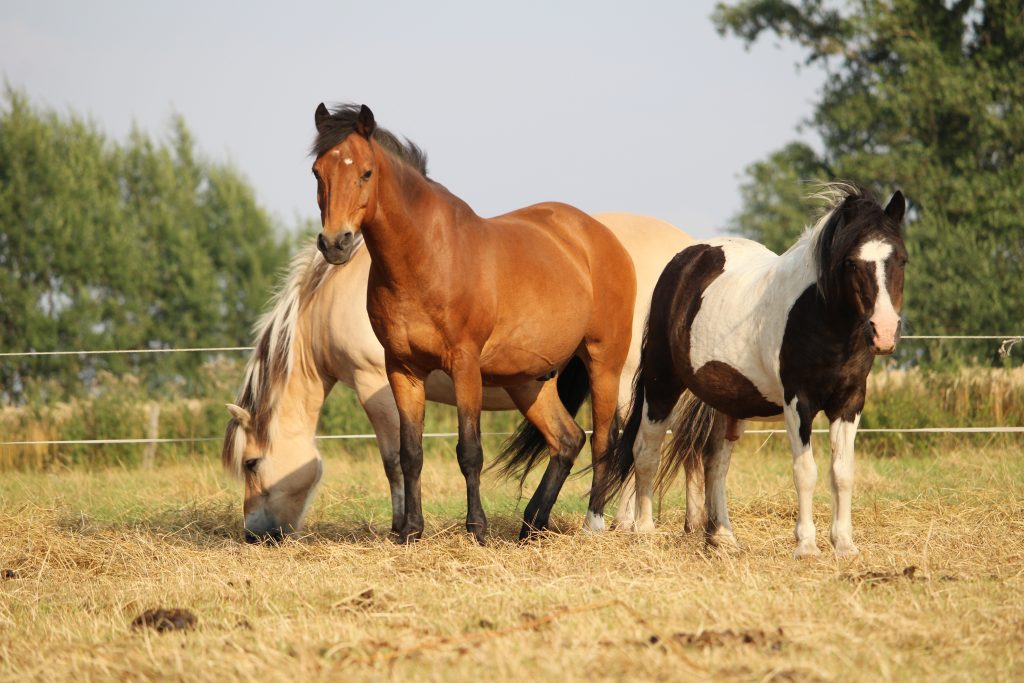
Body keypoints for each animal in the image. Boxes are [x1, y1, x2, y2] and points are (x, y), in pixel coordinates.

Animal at [223, 202, 696, 544]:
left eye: (251, 463)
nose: (254, 535)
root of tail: (687, 246)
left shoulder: (374, 383)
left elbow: (393, 461)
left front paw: (401, 526)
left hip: (627, 383)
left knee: (630, 445)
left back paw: (625, 523)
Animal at [307, 102, 634, 544]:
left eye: (366, 172)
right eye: (317, 172)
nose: (334, 243)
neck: (426, 257)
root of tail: (603, 239)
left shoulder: (464, 366)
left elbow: (469, 451)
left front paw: (476, 528)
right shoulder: (402, 369)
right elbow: (410, 453)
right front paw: (410, 530)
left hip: (604, 364)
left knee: (601, 442)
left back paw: (591, 525)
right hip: (528, 380)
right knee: (567, 440)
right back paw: (531, 525)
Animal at [598, 183, 909, 561]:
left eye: (901, 259)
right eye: (851, 262)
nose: (884, 331)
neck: (820, 317)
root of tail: (686, 258)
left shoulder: (849, 403)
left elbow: (842, 472)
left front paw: (844, 545)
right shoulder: (798, 402)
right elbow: (805, 471)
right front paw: (806, 546)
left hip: (727, 404)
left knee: (715, 463)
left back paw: (722, 537)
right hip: (661, 385)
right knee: (646, 451)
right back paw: (643, 531)